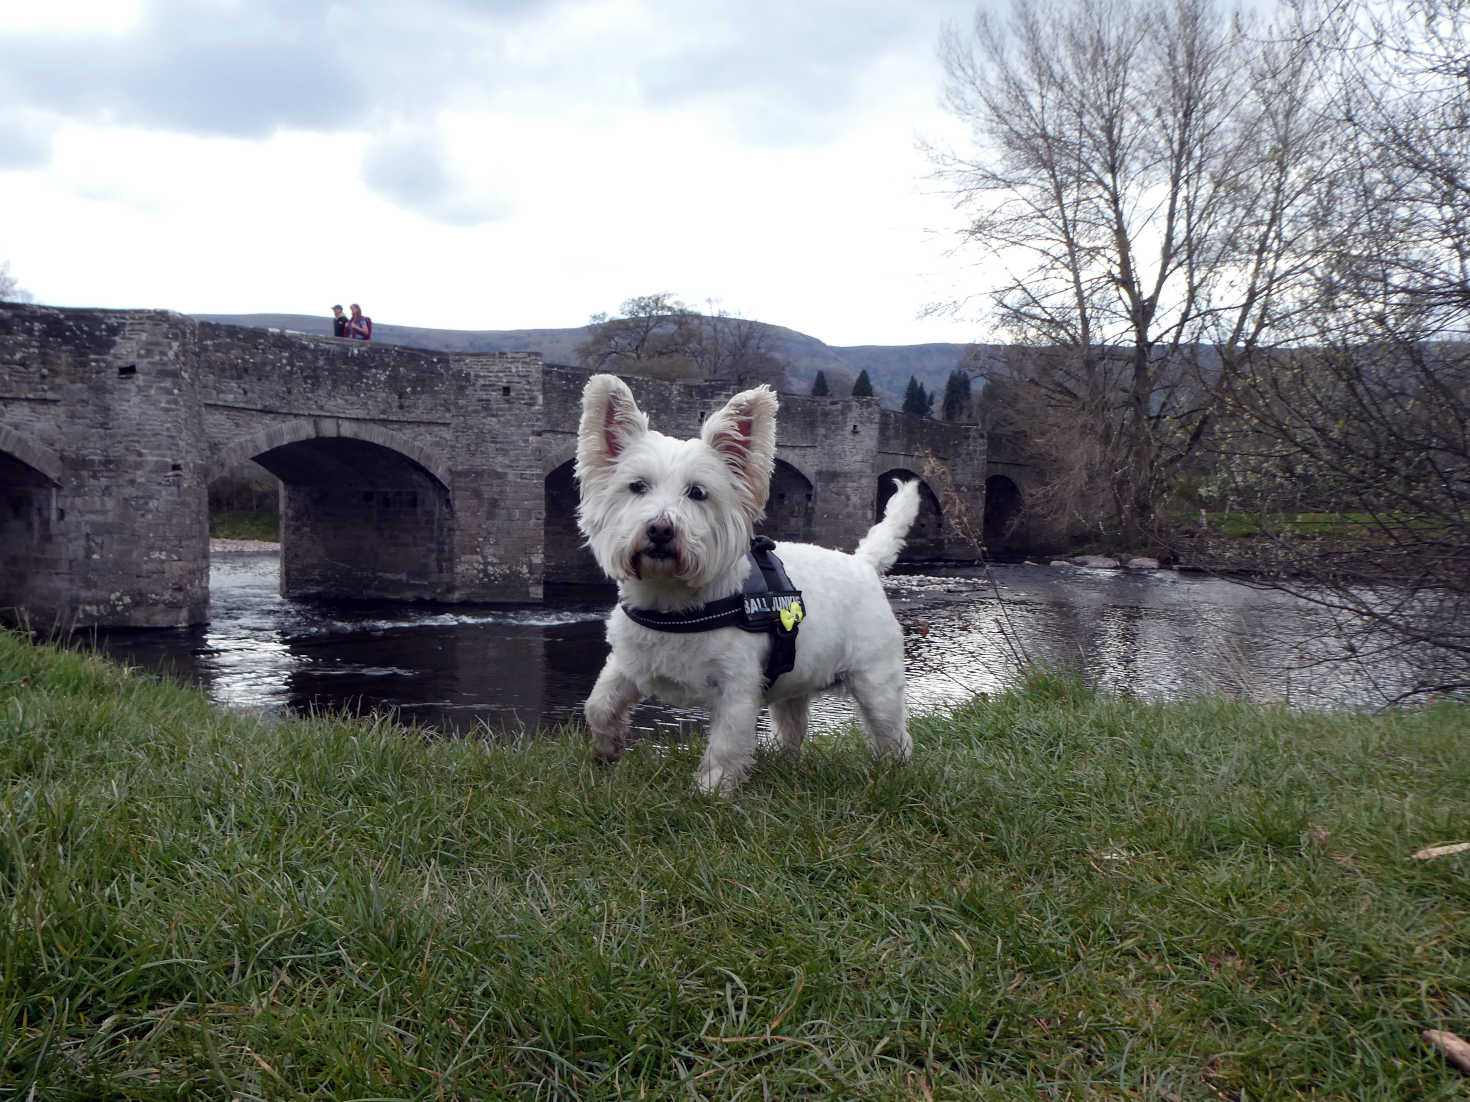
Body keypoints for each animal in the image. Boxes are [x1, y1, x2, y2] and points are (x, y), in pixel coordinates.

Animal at [573, 373, 917, 793]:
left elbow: (726, 743)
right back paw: (783, 761)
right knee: (793, 727)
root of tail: (863, 563)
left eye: (698, 492)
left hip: (875, 680)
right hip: (795, 679)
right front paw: (607, 748)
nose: (660, 529)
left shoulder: (736, 688)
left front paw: (712, 791)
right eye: (637, 486)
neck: (673, 602)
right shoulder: (629, 663)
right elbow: (599, 703)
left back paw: (895, 771)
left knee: (893, 732)